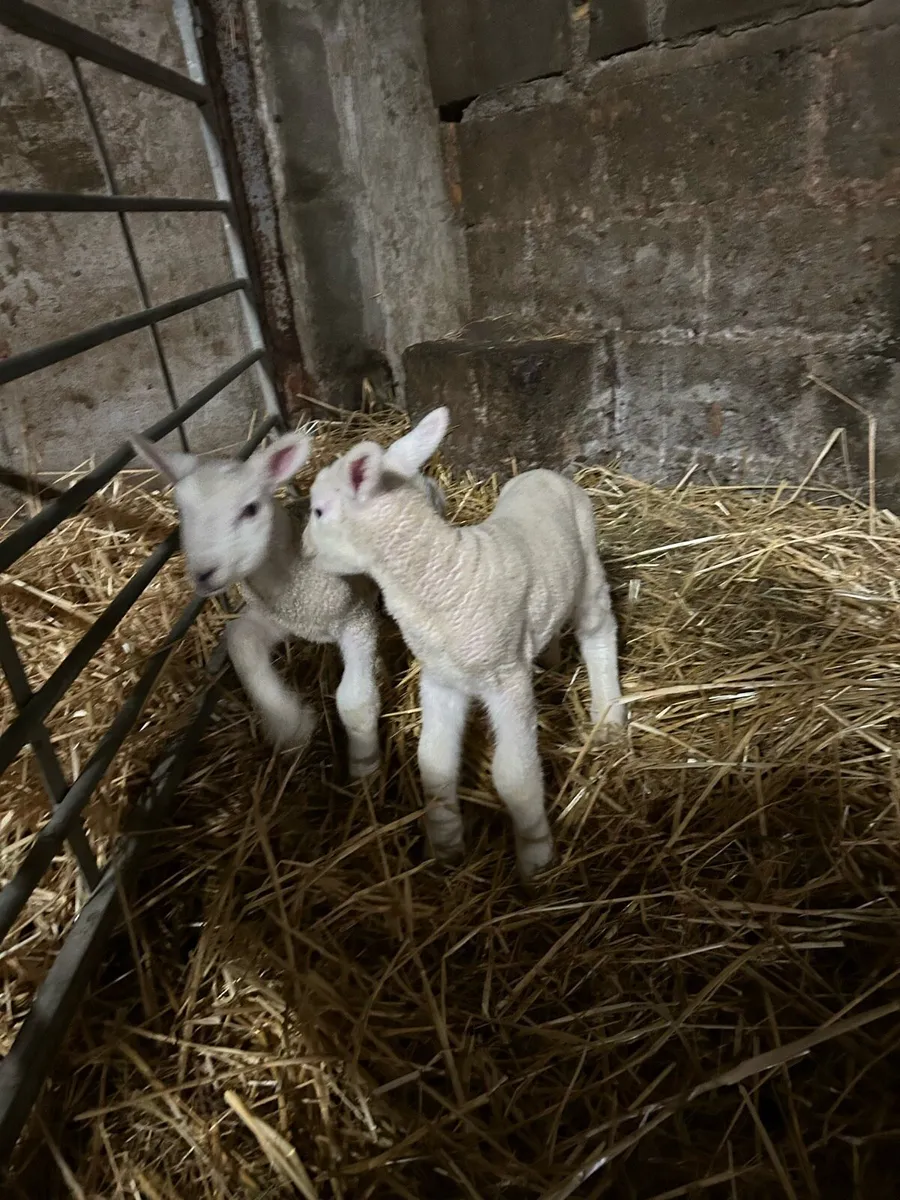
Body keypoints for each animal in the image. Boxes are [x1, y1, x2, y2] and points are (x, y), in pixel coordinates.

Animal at [131, 427, 443, 778]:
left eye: (250, 509)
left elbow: (355, 701)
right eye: (181, 513)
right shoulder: (279, 616)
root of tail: (390, 463)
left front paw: (364, 765)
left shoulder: (355, 618)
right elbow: (240, 642)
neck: (294, 577)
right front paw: (291, 725)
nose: (204, 574)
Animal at [302, 408, 625, 879]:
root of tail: (544, 473)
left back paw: (610, 714)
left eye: (318, 510)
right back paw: (550, 658)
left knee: (598, 631)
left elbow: (515, 777)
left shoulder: (506, 680)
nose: (303, 550)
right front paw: (445, 845)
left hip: (589, 564)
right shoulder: (441, 679)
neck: (442, 578)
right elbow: (433, 763)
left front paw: (536, 857)